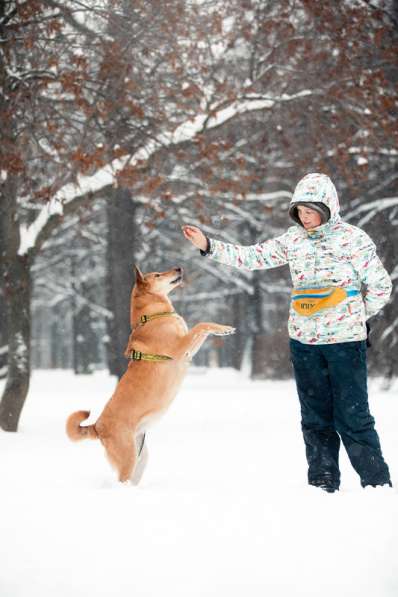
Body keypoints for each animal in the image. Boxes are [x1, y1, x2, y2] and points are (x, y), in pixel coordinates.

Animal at [65, 266, 233, 484]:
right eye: (158, 275)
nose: (179, 267)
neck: (153, 315)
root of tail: (97, 426)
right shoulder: (179, 348)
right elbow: (201, 324)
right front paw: (224, 328)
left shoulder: (187, 352)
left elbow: (204, 327)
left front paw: (223, 329)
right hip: (128, 458)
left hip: (141, 457)